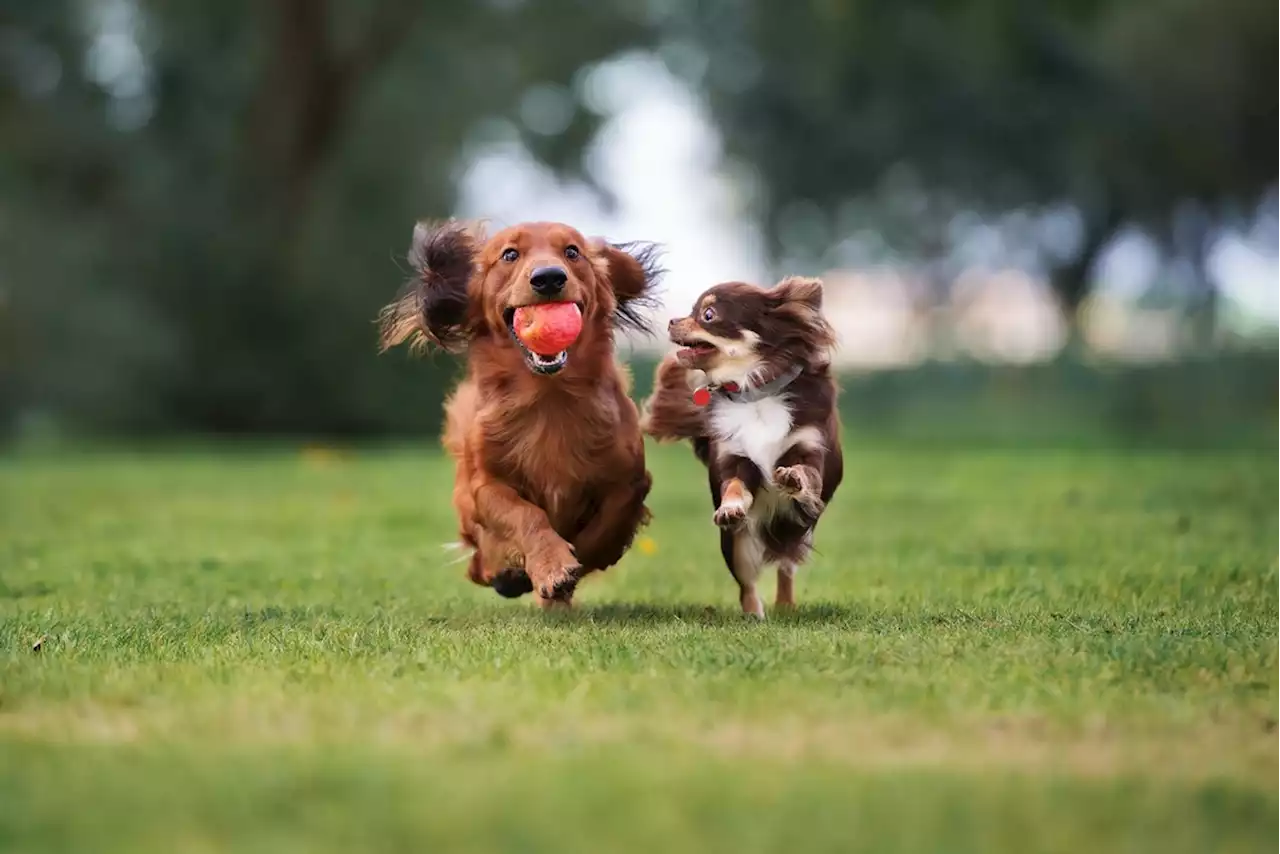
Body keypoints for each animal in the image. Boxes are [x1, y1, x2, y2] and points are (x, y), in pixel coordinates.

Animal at [378, 220, 660, 606]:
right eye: (509, 254)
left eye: (572, 251)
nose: (549, 278)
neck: (548, 398)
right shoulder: (485, 486)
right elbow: (526, 515)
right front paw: (551, 566)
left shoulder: (629, 479)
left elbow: (606, 526)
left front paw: (569, 566)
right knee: (479, 561)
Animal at [640, 280, 839, 622]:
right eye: (692, 310)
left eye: (708, 314)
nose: (672, 321)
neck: (754, 393)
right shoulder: (736, 458)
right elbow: (734, 485)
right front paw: (730, 507)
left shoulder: (810, 448)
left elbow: (807, 473)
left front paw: (793, 479)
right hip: (735, 544)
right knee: (747, 584)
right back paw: (753, 616)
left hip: (798, 531)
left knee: (786, 566)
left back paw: (785, 605)